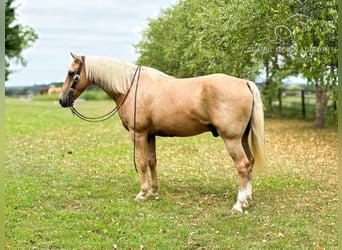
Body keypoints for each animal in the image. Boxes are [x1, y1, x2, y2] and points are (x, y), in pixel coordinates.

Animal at [60, 52, 266, 213]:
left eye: (72, 73)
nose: (62, 100)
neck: (130, 88)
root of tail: (244, 83)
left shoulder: (138, 134)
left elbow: (142, 163)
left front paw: (142, 193)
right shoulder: (150, 135)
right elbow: (152, 161)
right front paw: (153, 191)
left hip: (232, 139)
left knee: (242, 165)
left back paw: (238, 205)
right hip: (242, 138)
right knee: (250, 162)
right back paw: (246, 200)